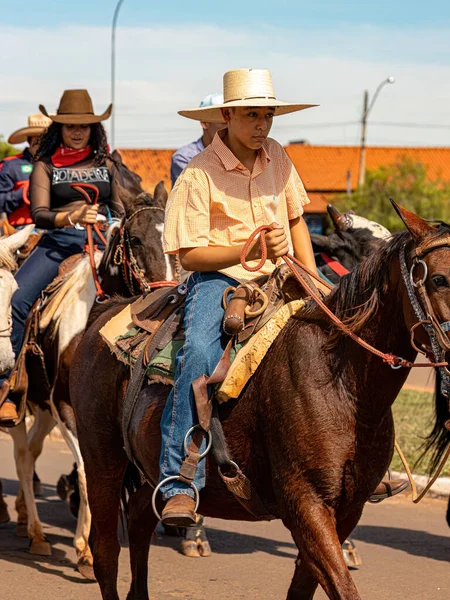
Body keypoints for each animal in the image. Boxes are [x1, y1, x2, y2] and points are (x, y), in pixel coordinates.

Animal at [69, 204, 450, 596]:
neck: (342, 383)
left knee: (140, 520)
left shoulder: (347, 510)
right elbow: (342, 586)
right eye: (439, 279)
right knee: (106, 552)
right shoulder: (306, 505)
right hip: (102, 461)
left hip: (149, 472)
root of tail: (103, 314)